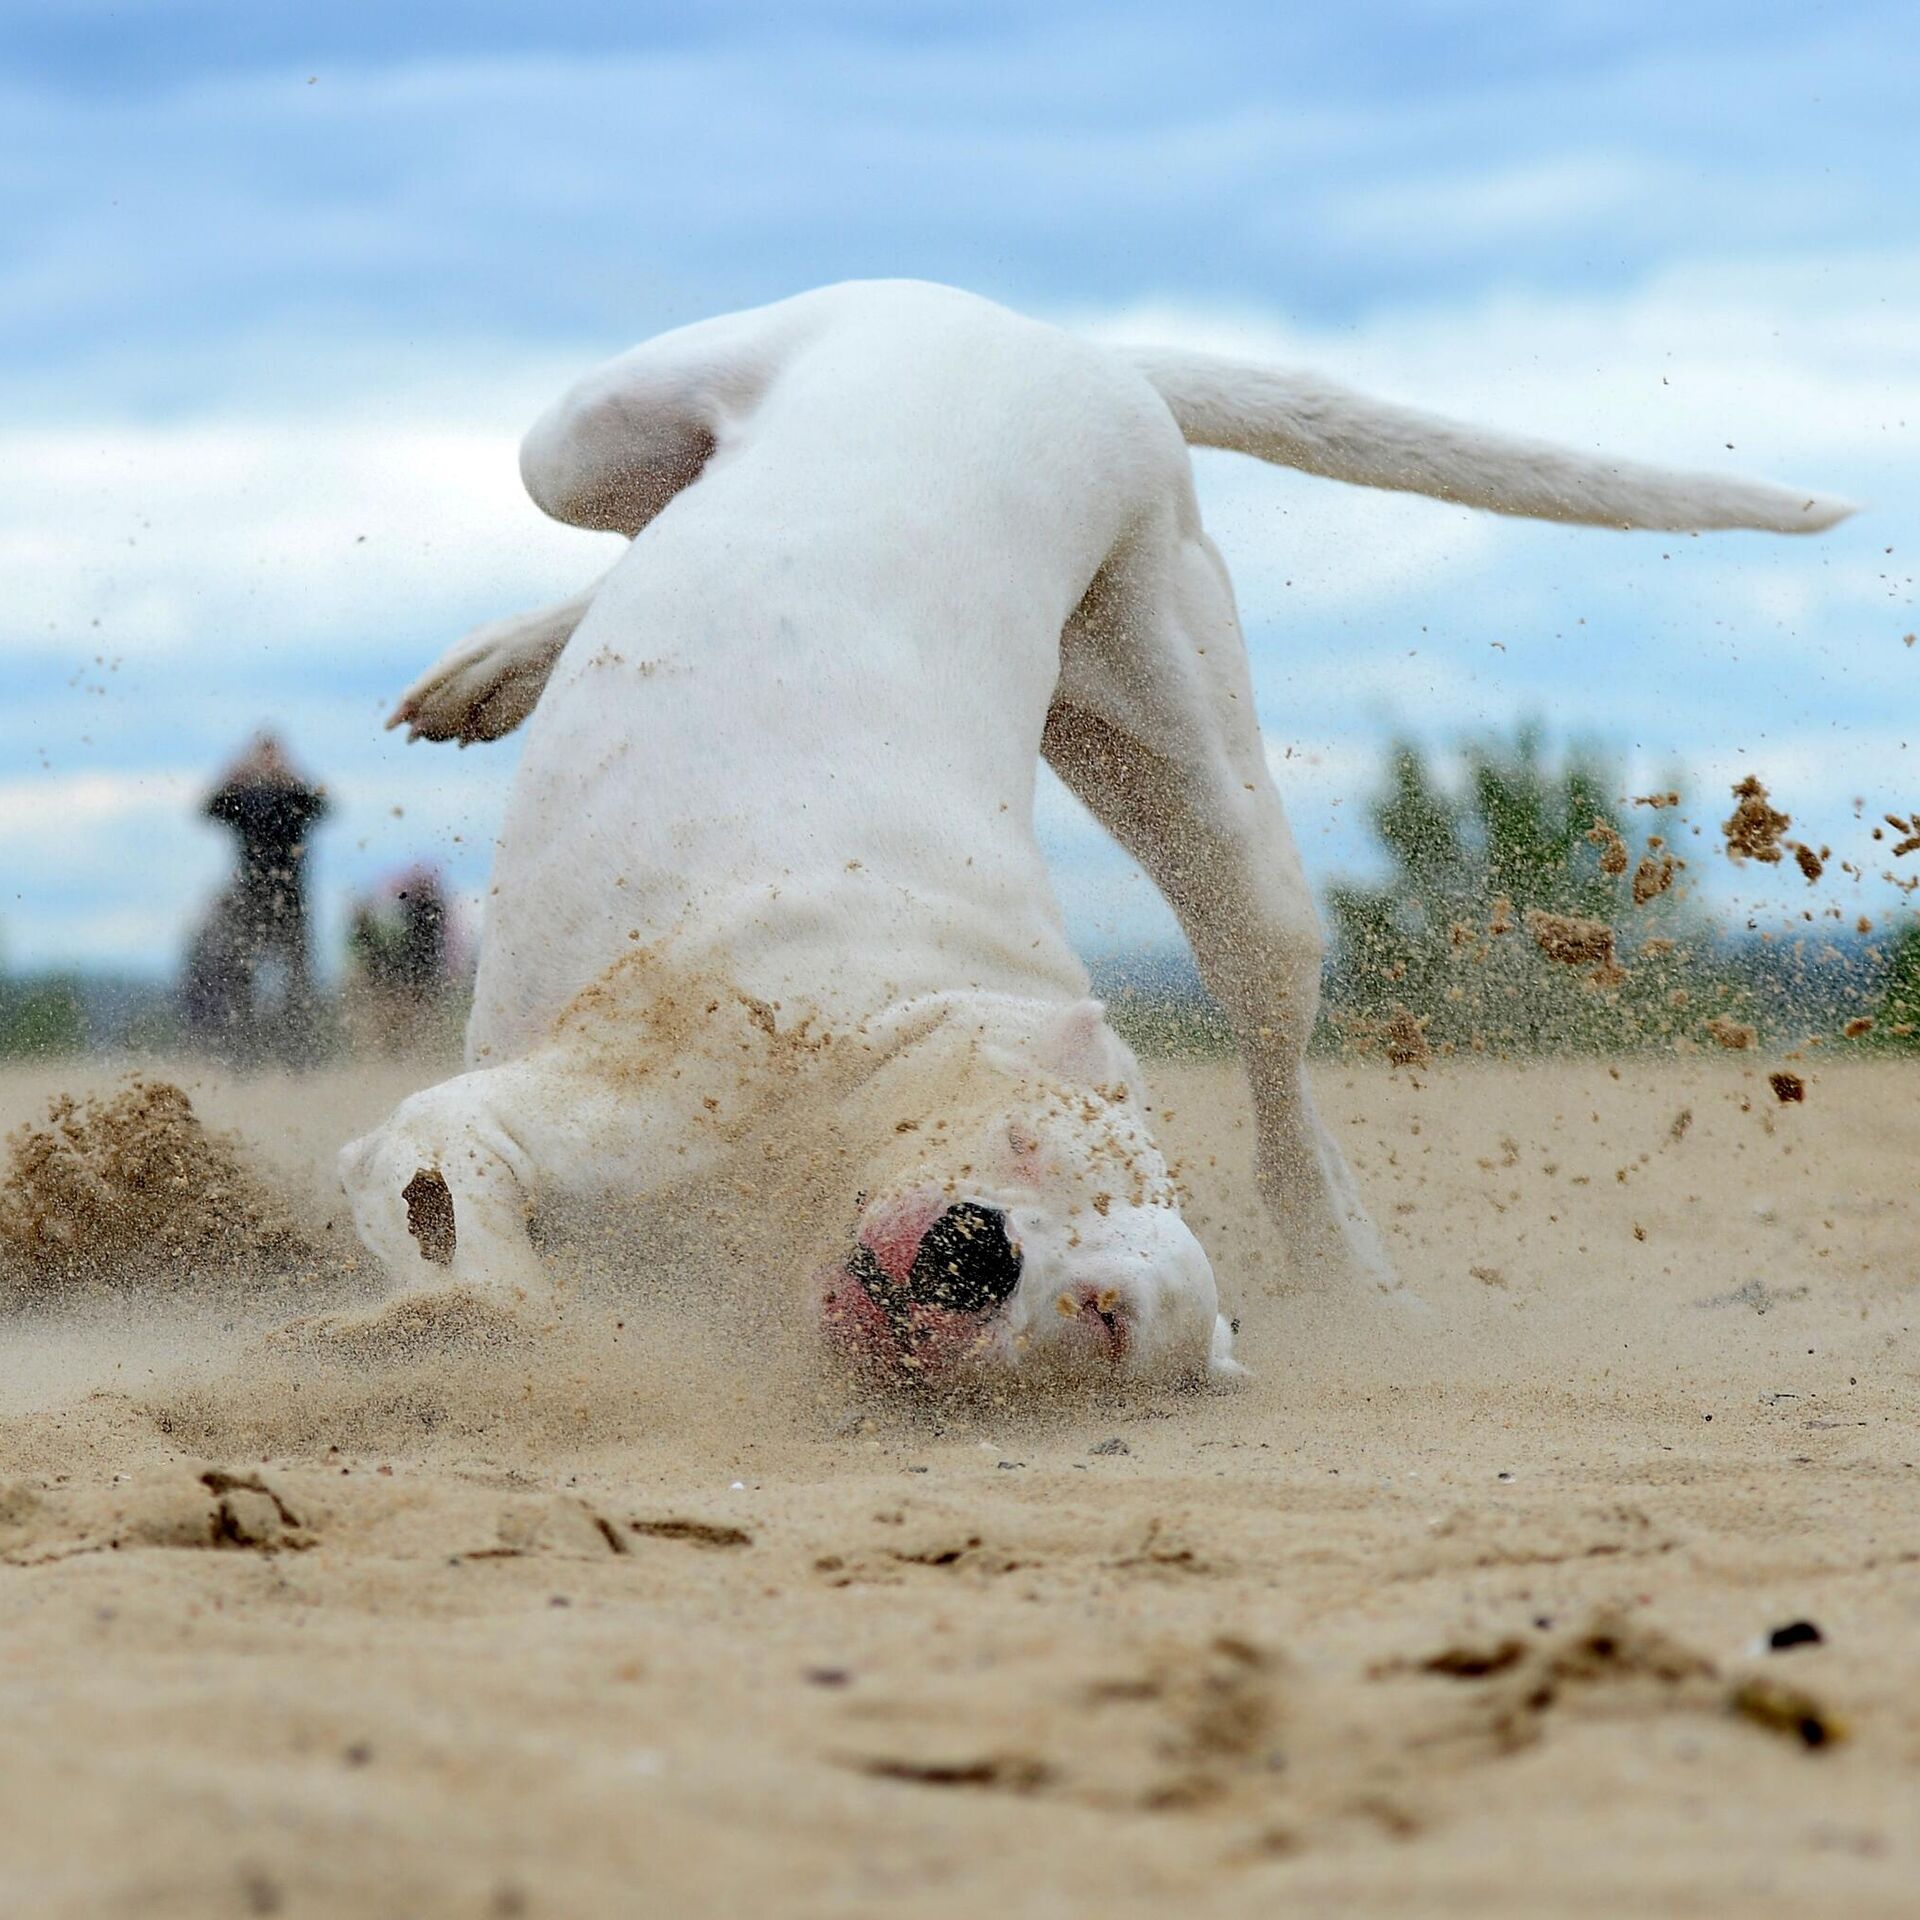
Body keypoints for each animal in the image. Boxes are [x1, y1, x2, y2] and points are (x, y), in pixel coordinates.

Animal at [341, 278, 1843, 1390]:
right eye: (1026, 1150)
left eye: (1104, 1313)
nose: (976, 1255)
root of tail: (1076, 345)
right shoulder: (495, 1117)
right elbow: (472, 1239)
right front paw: (453, 1325)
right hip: (596, 433)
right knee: (626, 512)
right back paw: (499, 664)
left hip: (1192, 789)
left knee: (1282, 1084)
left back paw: (1353, 1279)